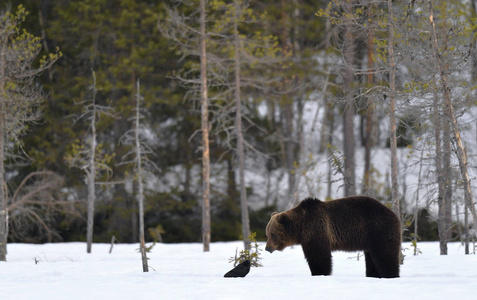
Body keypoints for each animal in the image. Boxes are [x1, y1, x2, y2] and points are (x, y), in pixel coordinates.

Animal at [266, 196, 400, 278]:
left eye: (273, 234)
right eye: (267, 234)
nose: (267, 248)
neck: (300, 228)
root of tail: (394, 214)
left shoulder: (316, 228)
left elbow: (318, 256)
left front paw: (319, 273)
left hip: (379, 230)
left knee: (385, 255)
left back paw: (391, 275)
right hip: (370, 240)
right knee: (372, 259)